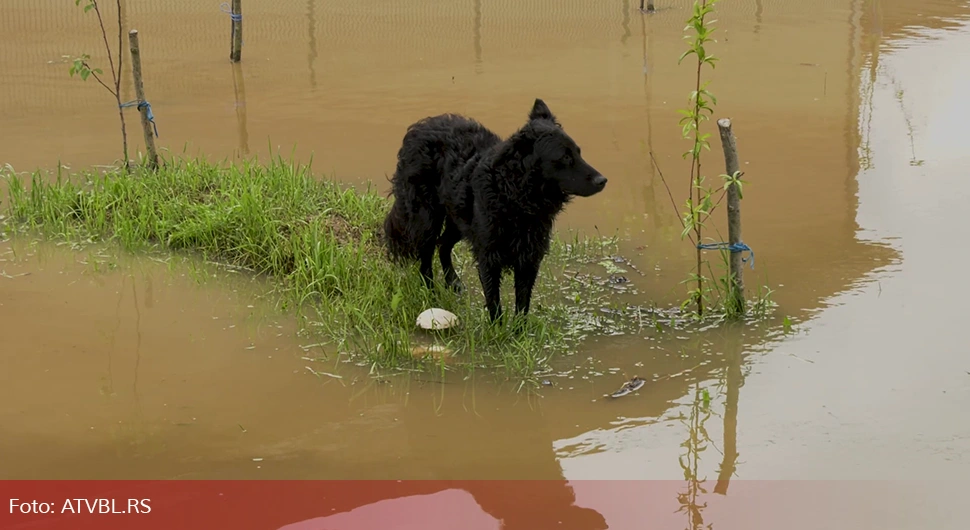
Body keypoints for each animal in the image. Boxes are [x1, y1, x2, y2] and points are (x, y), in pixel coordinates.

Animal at [380, 99, 600, 322]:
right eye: (565, 157)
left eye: (578, 153)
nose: (603, 180)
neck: (515, 196)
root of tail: (419, 127)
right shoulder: (489, 256)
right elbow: (494, 303)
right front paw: (498, 328)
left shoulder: (529, 258)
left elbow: (522, 304)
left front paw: (519, 330)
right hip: (426, 218)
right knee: (426, 257)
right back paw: (430, 292)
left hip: (459, 219)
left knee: (443, 245)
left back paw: (453, 282)